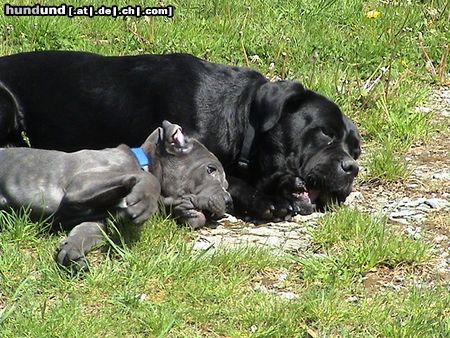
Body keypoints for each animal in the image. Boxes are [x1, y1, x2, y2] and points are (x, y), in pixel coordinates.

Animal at [0, 49, 360, 219]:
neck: (239, 117)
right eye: (326, 133)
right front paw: (265, 199)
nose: (352, 168)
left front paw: (284, 188)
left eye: (355, 151)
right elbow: (229, 178)